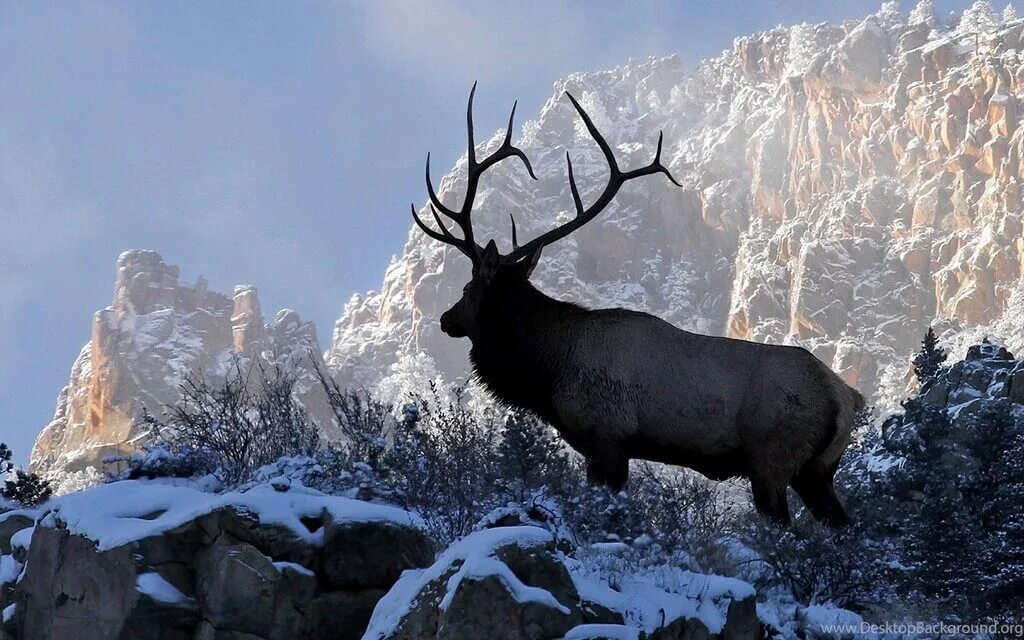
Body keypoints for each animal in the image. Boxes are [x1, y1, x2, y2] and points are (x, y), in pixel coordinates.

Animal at [411, 84, 860, 524]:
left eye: (467, 288)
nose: (446, 319)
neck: (549, 368)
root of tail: (844, 397)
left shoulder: (608, 434)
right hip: (817, 470)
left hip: (771, 458)